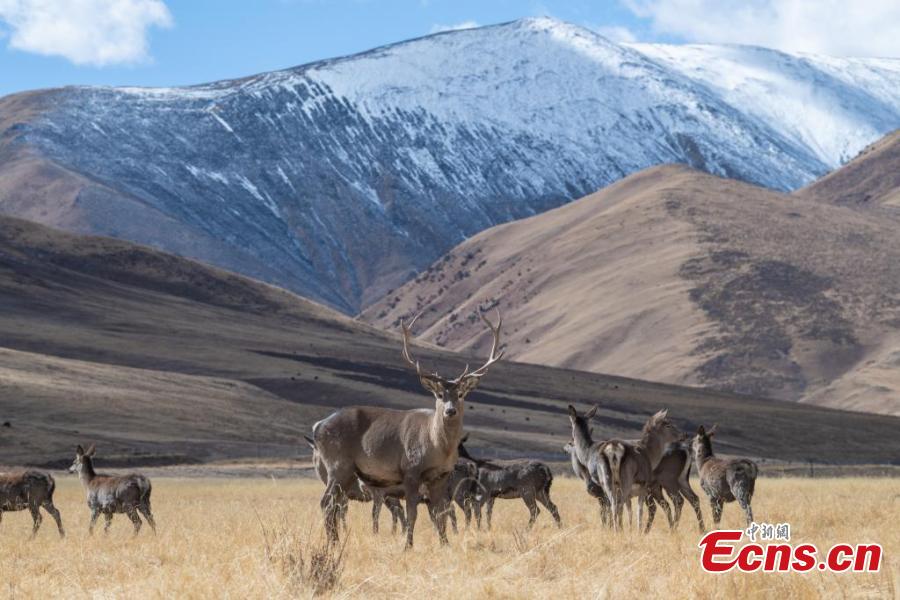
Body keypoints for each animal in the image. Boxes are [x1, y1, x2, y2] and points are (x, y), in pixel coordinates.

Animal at [313, 308, 503, 548]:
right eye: (439, 394)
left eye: (460, 394)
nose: (450, 411)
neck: (438, 448)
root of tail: (318, 426)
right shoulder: (411, 470)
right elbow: (413, 513)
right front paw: (408, 546)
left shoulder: (440, 476)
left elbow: (439, 513)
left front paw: (445, 544)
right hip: (338, 465)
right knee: (326, 503)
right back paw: (333, 544)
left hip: (346, 473)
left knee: (334, 504)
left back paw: (335, 542)